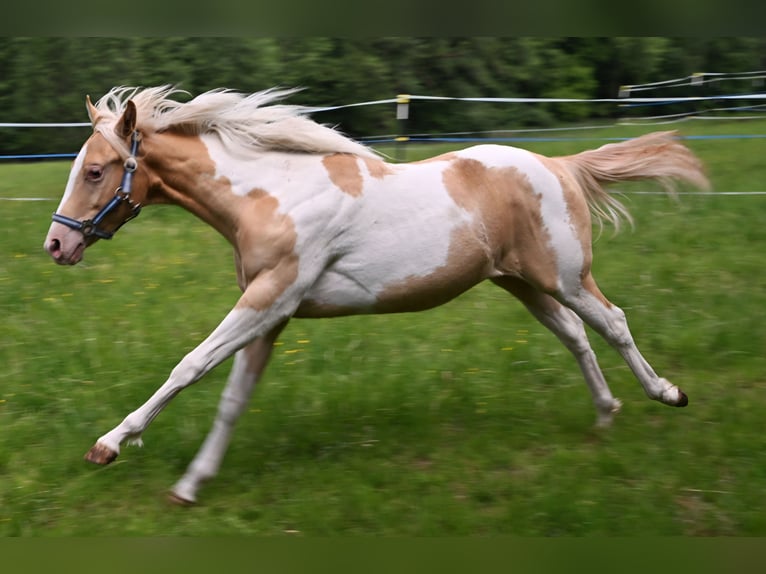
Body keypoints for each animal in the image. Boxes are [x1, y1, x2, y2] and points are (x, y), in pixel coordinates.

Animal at [44, 86, 710, 504]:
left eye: (96, 171)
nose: (56, 244)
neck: (270, 195)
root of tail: (561, 165)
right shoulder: (272, 316)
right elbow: (233, 398)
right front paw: (190, 486)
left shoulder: (269, 300)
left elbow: (190, 366)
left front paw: (108, 446)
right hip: (521, 283)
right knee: (575, 336)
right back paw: (605, 415)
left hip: (564, 278)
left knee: (613, 322)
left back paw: (668, 394)